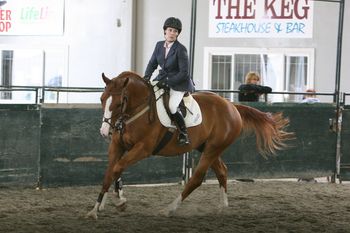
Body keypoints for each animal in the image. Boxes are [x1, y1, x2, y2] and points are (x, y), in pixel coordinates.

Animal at [86, 70, 294, 218]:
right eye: (102, 99)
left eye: (119, 102)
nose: (104, 131)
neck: (137, 111)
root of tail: (231, 106)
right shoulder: (117, 146)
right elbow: (111, 172)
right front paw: (98, 207)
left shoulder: (142, 149)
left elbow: (117, 168)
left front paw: (117, 202)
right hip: (207, 147)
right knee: (222, 171)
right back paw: (223, 206)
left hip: (212, 149)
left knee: (197, 178)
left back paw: (169, 209)